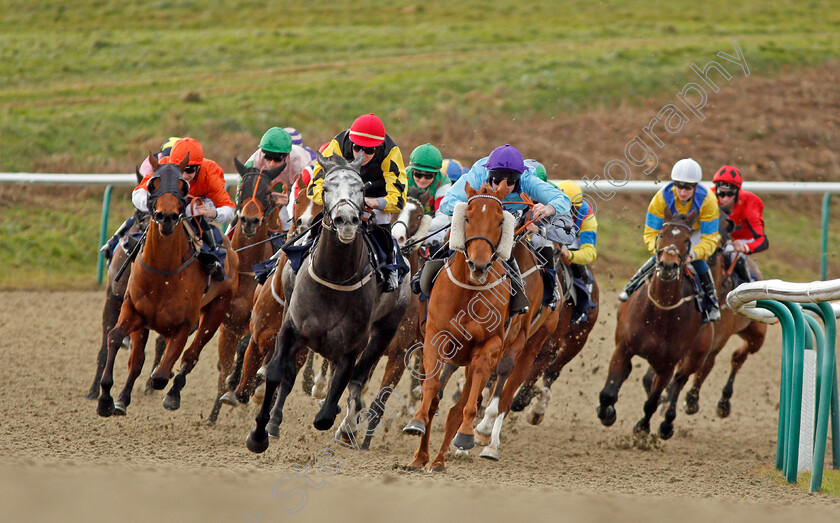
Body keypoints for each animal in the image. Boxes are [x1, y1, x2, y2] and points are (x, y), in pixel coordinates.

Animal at [97, 156, 240, 418]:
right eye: (153, 183)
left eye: (183, 186)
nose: (166, 217)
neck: (163, 272)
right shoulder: (134, 310)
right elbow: (117, 340)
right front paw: (108, 399)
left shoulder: (183, 325)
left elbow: (162, 375)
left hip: (216, 311)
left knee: (190, 356)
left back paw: (173, 394)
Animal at [205, 158, 284, 424]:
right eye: (241, 188)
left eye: (268, 193)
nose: (250, 221)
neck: (247, 268)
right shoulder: (227, 324)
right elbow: (224, 366)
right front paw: (214, 413)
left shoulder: (255, 322)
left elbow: (244, 349)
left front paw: (238, 385)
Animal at [244, 152, 412, 454]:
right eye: (326, 188)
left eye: (362, 189)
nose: (346, 220)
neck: (335, 277)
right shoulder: (291, 330)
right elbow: (276, 373)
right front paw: (259, 434)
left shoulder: (354, 344)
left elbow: (334, 400)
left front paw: (337, 417)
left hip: (386, 330)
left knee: (357, 378)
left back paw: (348, 427)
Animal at [400, 182, 520, 472]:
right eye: (467, 217)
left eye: (500, 221)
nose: (479, 264)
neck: (469, 294)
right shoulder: (435, 338)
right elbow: (431, 390)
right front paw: (416, 421)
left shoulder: (489, 346)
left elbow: (467, 403)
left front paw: (465, 435)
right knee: (435, 400)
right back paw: (420, 457)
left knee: (460, 406)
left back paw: (439, 460)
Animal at [596, 209, 716, 438]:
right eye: (661, 235)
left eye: (687, 240)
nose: (668, 266)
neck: (660, 313)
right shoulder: (623, 347)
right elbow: (608, 393)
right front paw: (607, 413)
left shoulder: (667, 363)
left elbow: (652, 401)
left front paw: (642, 428)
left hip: (696, 354)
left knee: (679, 380)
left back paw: (667, 423)